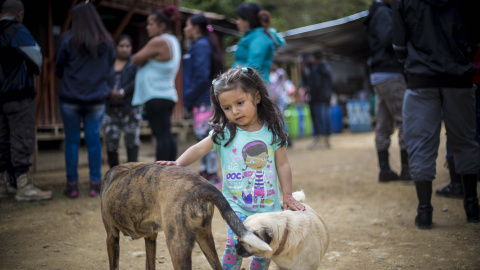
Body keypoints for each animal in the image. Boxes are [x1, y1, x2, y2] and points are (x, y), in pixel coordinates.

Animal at [100, 162, 270, 270]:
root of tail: (202, 185)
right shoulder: (151, 238)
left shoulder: (111, 235)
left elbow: (114, 265)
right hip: (205, 239)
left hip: (177, 246)